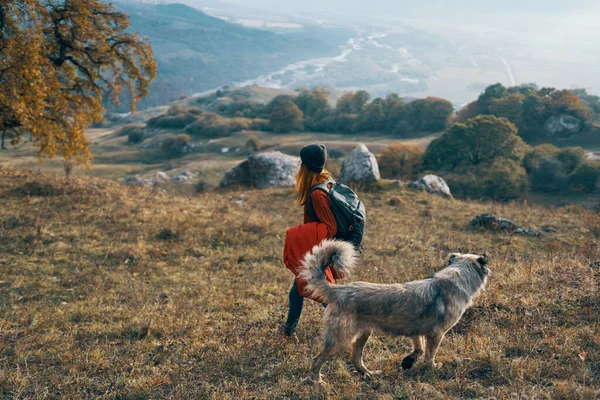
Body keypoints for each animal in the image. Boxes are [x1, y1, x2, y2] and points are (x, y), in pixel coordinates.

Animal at [298, 239, 490, 382]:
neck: (458, 277)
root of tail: (339, 290)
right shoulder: (436, 334)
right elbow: (429, 355)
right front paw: (432, 368)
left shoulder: (417, 331)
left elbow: (419, 350)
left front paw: (408, 361)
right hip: (340, 339)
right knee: (318, 359)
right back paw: (317, 381)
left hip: (363, 333)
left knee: (356, 358)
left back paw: (368, 374)